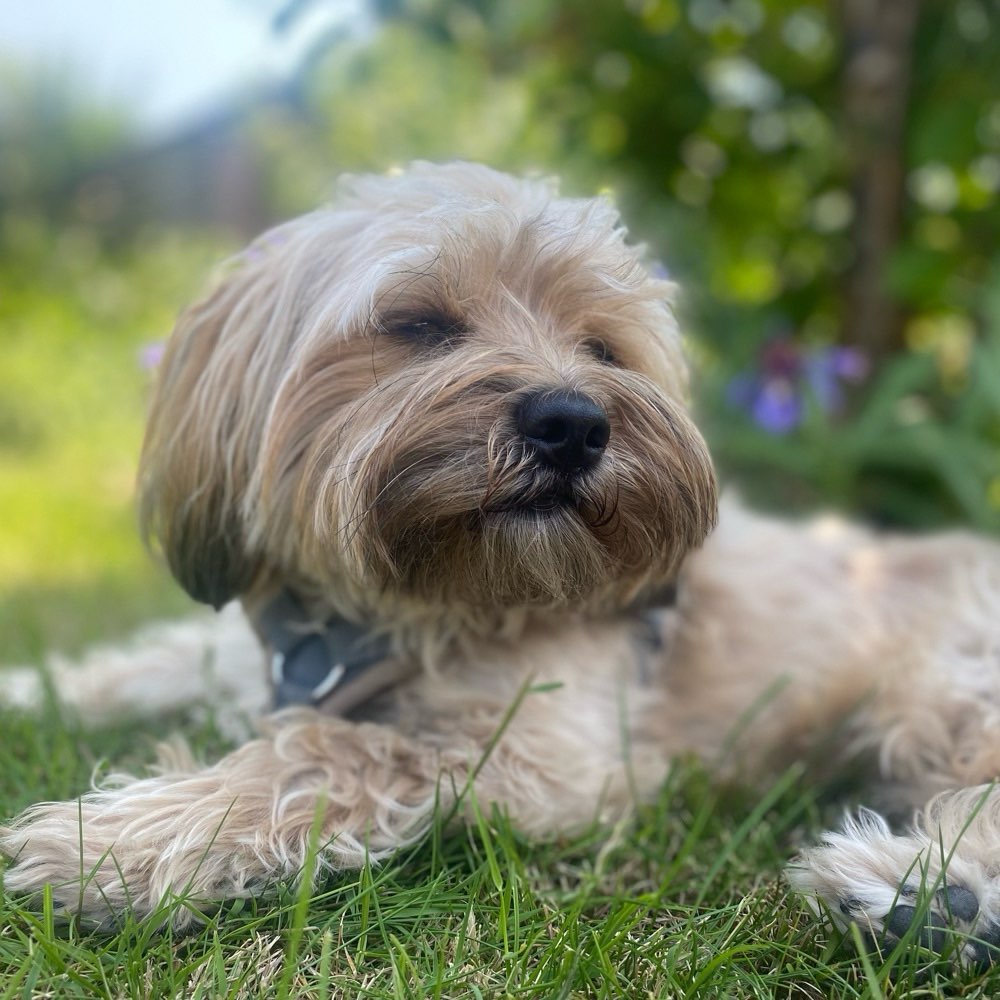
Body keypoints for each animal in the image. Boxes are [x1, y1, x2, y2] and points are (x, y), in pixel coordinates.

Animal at [5, 166, 1000, 968]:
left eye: (604, 349)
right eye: (420, 325)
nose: (574, 423)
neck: (409, 607)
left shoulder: (546, 753)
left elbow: (336, 750)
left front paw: (114, 844)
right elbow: (144, 663)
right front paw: (31, 691)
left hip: (944, 686)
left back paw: (927, 898)